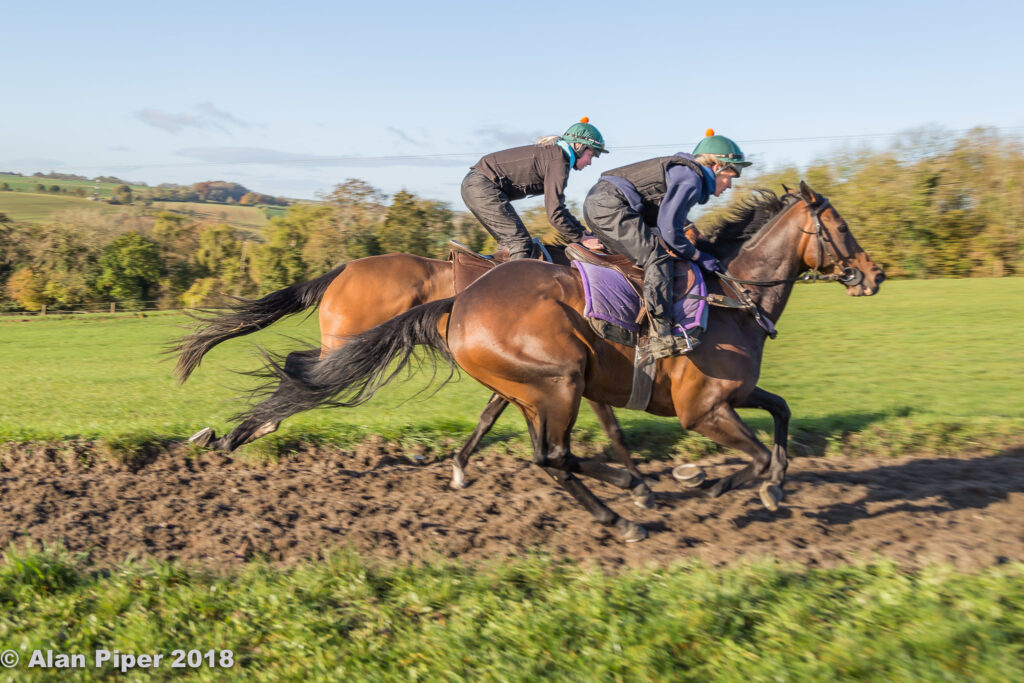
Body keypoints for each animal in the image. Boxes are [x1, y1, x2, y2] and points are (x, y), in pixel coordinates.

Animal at [172, 245, 643, 497]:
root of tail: (345, 268)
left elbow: (488, 417)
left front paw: (459, 467)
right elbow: (612, 426)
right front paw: (635, 482)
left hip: (346, 343)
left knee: (298, 374)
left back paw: (244, 431)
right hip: (346, 342)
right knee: (302, 375)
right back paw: (244, 431)